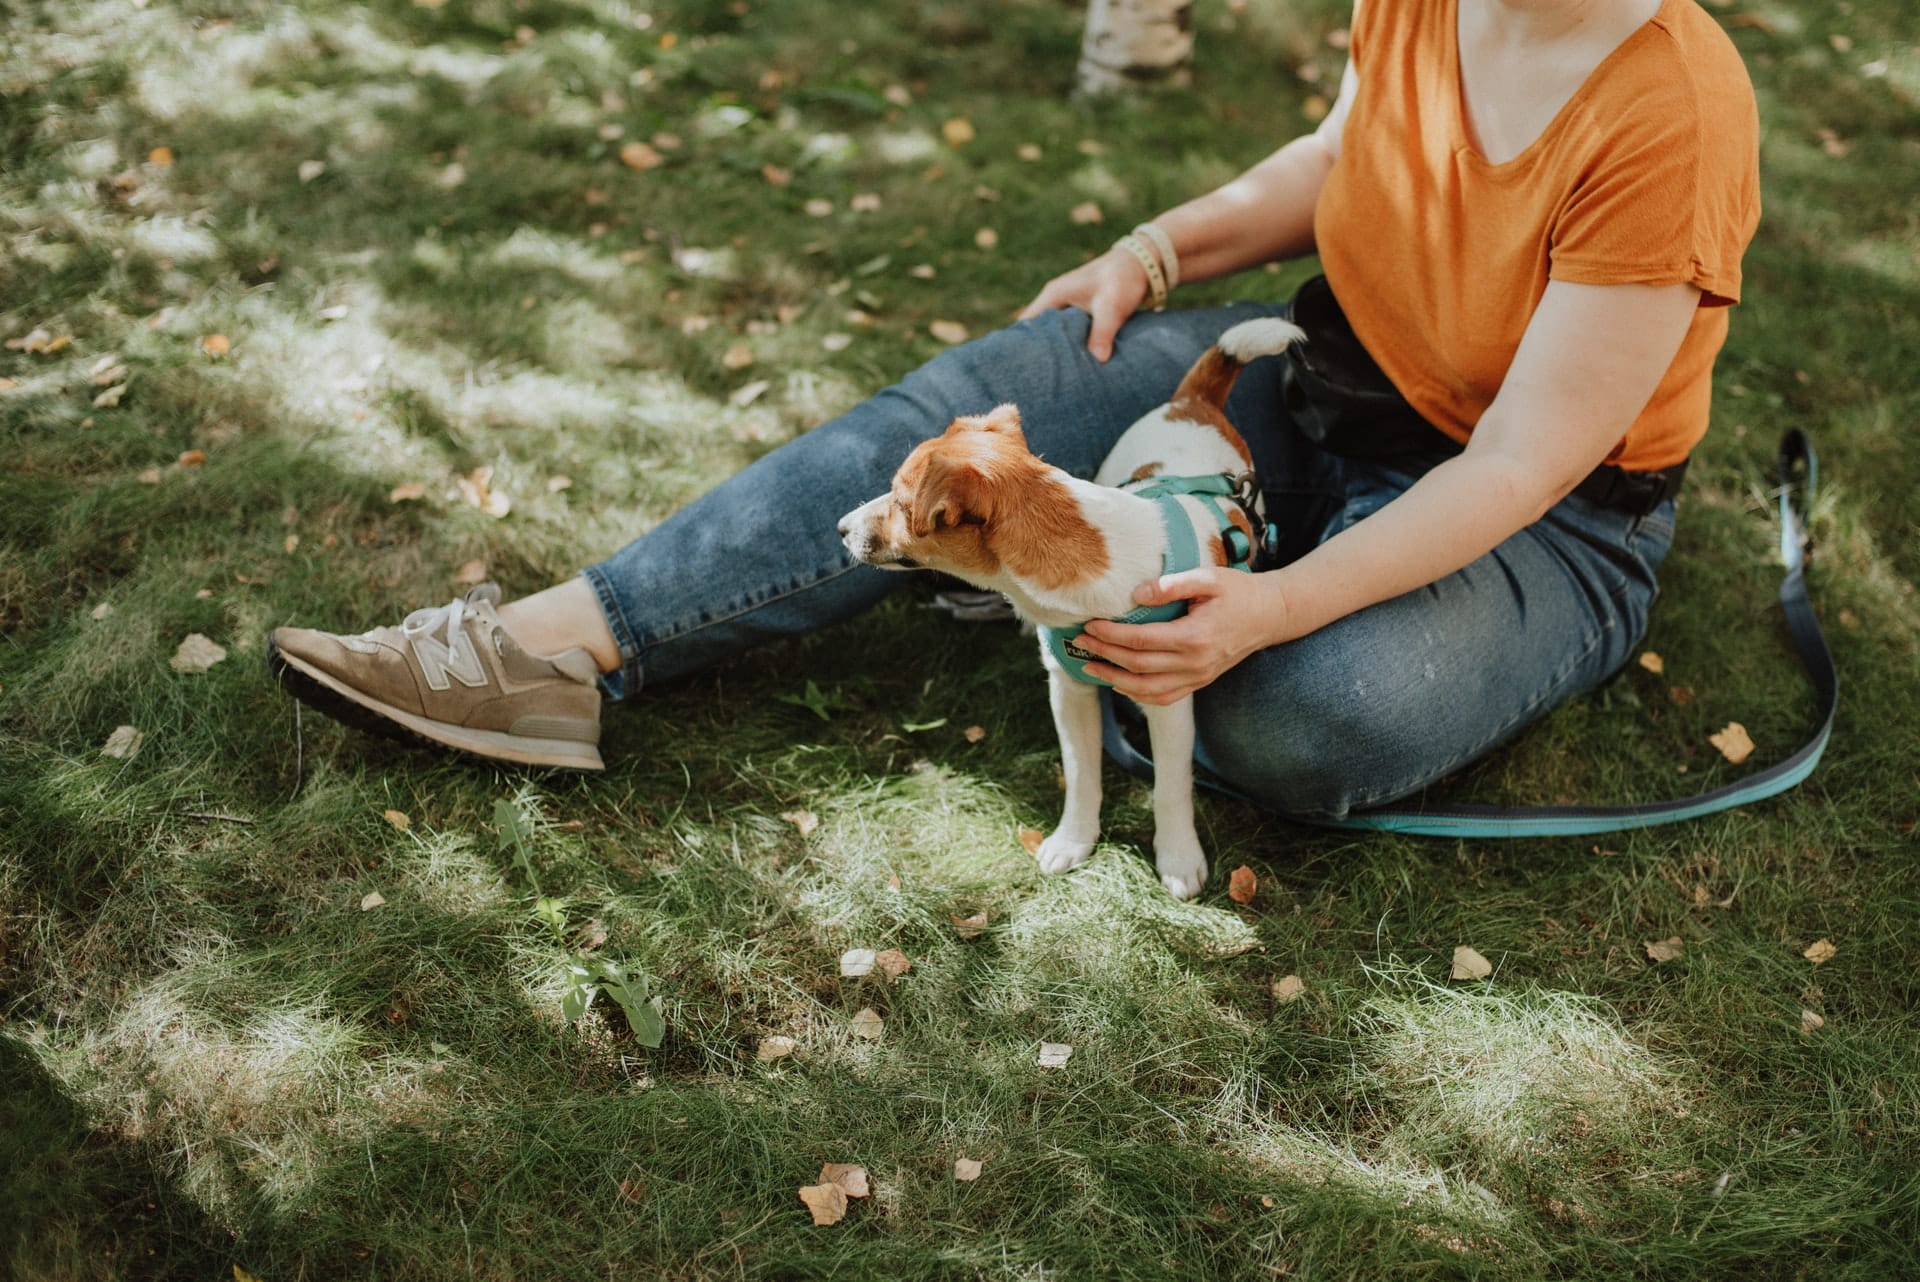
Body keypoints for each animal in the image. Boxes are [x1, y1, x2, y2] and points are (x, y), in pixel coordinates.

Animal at [840, 318, 1305, 902]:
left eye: (902, 503)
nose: (840, 529)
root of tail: (1191, 402)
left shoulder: (1170, 699)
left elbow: (1171, 785)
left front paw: (1178, 856)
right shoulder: (1069, 690)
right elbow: (1082, 772)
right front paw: (1074, 839)